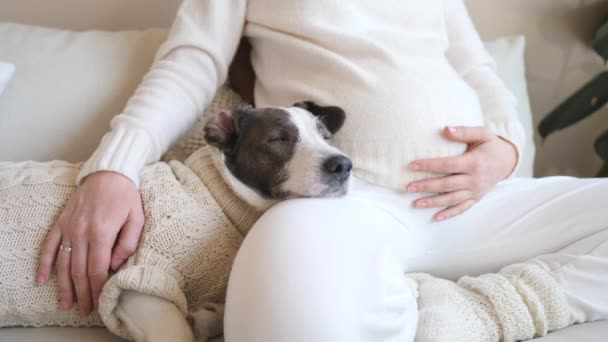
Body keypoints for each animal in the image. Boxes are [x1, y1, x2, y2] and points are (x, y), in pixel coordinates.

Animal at [0, 101, 352, 342]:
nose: (343, 165)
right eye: (278, 139)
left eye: (327, 137)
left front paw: (206, 316)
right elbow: (176, 331)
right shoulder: (139, 280)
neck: (221, 193)